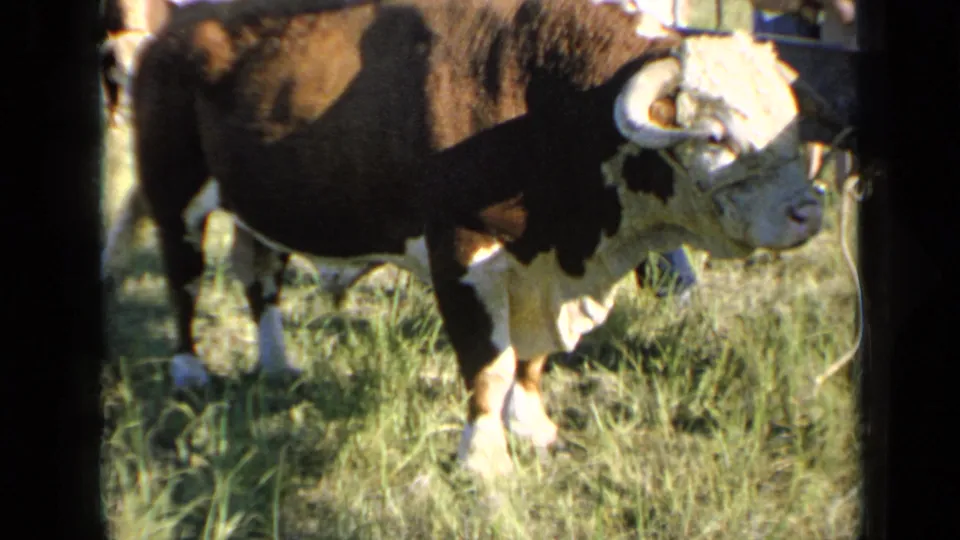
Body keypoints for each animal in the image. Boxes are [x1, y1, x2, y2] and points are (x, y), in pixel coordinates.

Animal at [110, 0, 844, 476]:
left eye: (787, 120)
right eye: (715, 134)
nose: (808, 212)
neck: (546, 96)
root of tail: (175, 31)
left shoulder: (542, 268)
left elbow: (533, 359)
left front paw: (534, 426)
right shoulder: (462, 251)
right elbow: (488, 362)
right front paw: (484, 459)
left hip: (260, 207)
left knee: (262, 280)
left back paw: (275, 362)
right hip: (176, 191)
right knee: (183, 279)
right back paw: (189, 369)